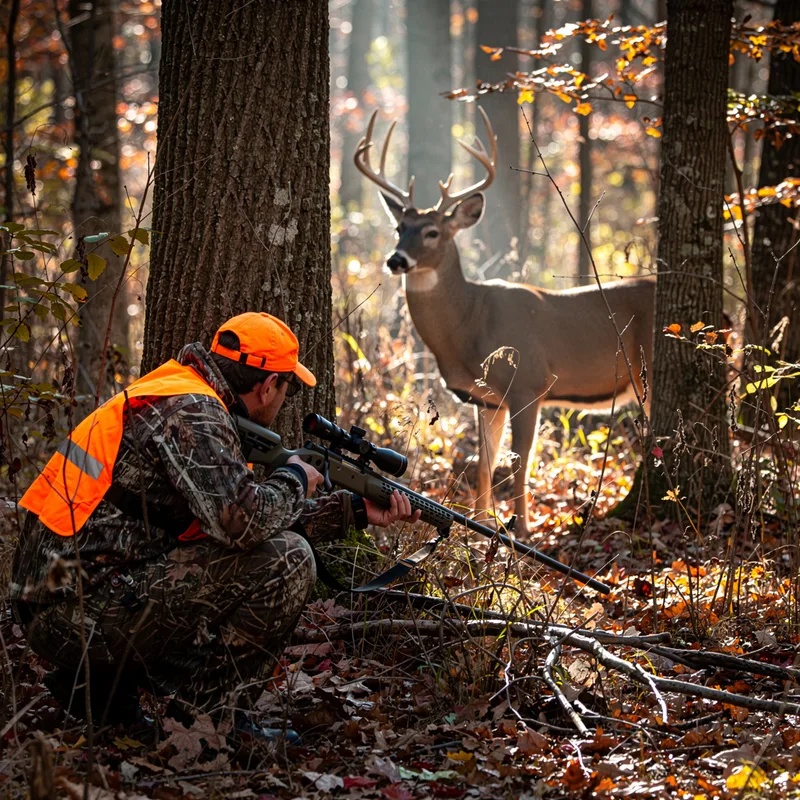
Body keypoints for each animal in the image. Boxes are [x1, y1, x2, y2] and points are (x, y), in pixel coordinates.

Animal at [354, 108, 655, 533]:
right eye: (399, 228)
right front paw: (480, 525)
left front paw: (522, 531)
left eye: (432, 231)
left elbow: (520, 465)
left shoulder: (529, 383)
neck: (468, 325)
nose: (396, 259)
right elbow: (485, 464)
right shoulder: (485, 399)